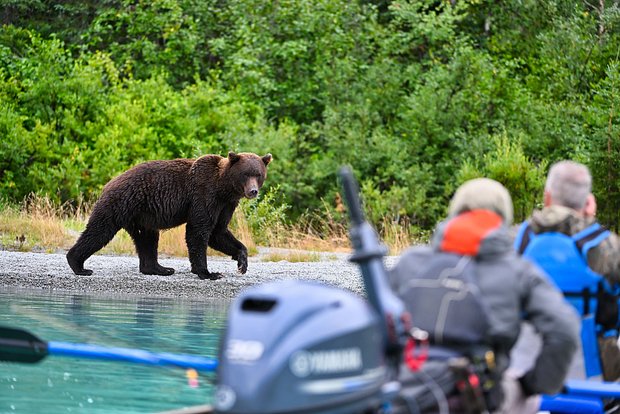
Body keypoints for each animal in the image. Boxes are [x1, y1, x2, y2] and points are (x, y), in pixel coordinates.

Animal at [66, 152, 272, 282]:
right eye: (246, 174)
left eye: (258, 174)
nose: (253, 191)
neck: (224, 188)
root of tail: (108, 183)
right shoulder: (204, 195)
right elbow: (199, 231)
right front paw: (208, 272)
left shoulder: (227, 205)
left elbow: (218, 232)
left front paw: (242, 262)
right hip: (120, 203)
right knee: (100, 231)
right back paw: (78, 265)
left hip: (141, 216)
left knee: (147, 238)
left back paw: (160, 269)